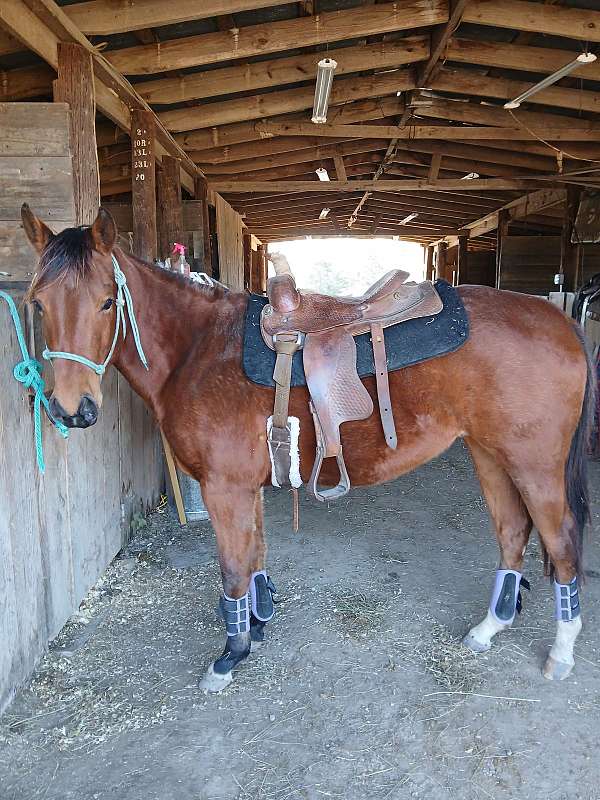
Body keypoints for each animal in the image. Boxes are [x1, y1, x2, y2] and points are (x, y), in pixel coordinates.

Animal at [19, 209, 596, 692]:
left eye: (107, 301)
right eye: (37, 303)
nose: (73, 410)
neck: (199, 349)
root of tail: (561, 322)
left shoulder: (224, 488)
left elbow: (233, 570)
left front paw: (230, 655)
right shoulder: (243, 487)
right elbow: (254, 558)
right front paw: (256, 625)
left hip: (535, 466)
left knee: (563, 545)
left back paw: (562, 652)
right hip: (490, 455)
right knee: (513, 533)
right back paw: (488, 628)